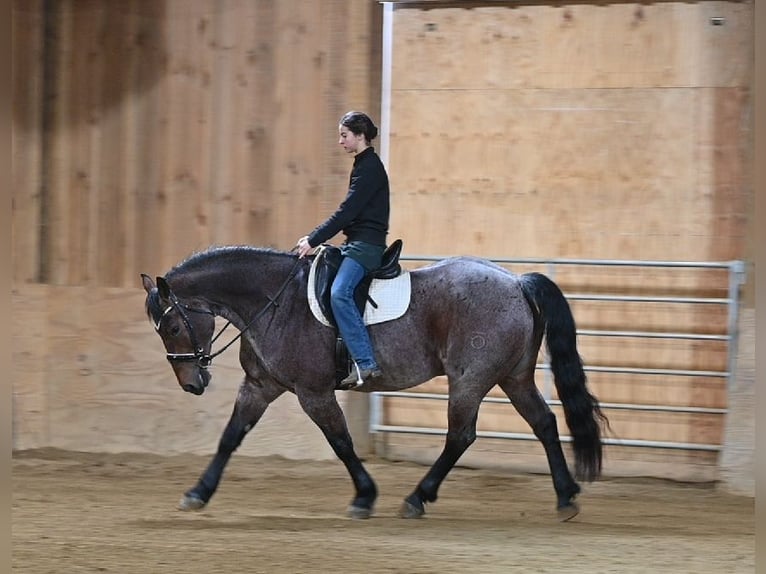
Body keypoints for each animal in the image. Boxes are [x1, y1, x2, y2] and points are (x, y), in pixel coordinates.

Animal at [141, 245, 609, 520]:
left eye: (173, 328)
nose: (192, 383)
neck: (274, 302)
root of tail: (515, 282)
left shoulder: (313, 393)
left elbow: (341, 443)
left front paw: (364, 496)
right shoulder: (260, 386)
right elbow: (230, 437)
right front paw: (198, 492)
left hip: (470, 380)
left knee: (461, 436)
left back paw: (417, 498)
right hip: (514, 378)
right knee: (544, 423)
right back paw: (566, 497)